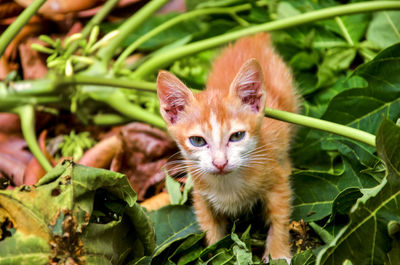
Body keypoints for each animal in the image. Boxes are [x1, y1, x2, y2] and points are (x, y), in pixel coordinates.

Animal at [158, 32, 298, 260]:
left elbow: (280, 219)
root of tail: (252, 37)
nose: (220, 163)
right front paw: (214, 253)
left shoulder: (277, 180)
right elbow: (210, 229)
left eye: (237, 136)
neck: (227, 184)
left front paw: (278, 252)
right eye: (197, 141)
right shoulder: (200, 194)